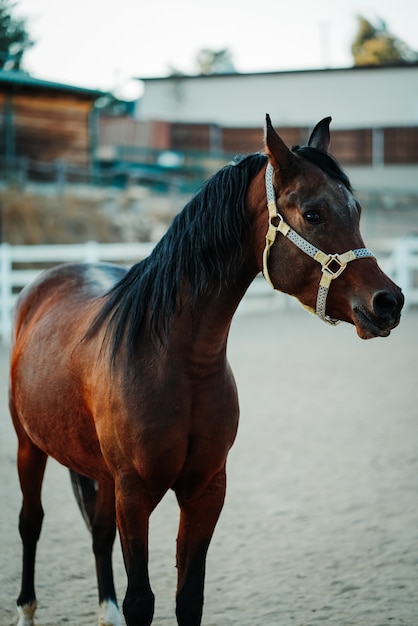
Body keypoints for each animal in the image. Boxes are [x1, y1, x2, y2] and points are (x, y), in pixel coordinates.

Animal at [9, 118, 402, 624]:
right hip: (29, 446)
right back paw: (26, 608)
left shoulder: (206, 489)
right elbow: (141, 601)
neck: (175, 362)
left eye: (356, 210)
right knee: (30, 522)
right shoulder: (135, 493)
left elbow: (188, 597)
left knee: (97, 533)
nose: (389, 301)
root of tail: (45, 281)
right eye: (313, 214)